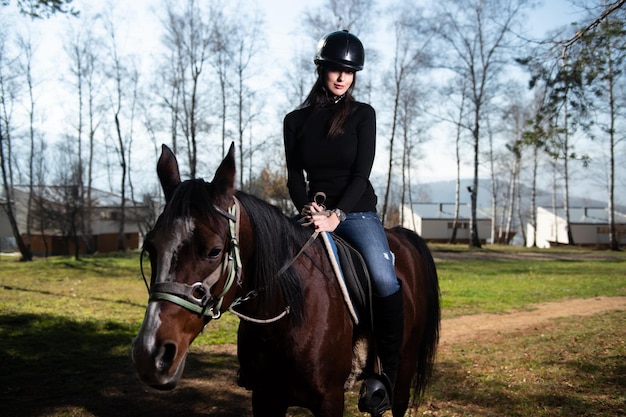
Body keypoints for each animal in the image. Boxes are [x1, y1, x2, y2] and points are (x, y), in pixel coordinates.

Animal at [132, 144, 438, 416]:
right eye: (151, 248)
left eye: (214, 251)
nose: (151, 354)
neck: (287, 315)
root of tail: (402, 234)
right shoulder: (266, 398)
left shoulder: (330, 400)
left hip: (404, 369)